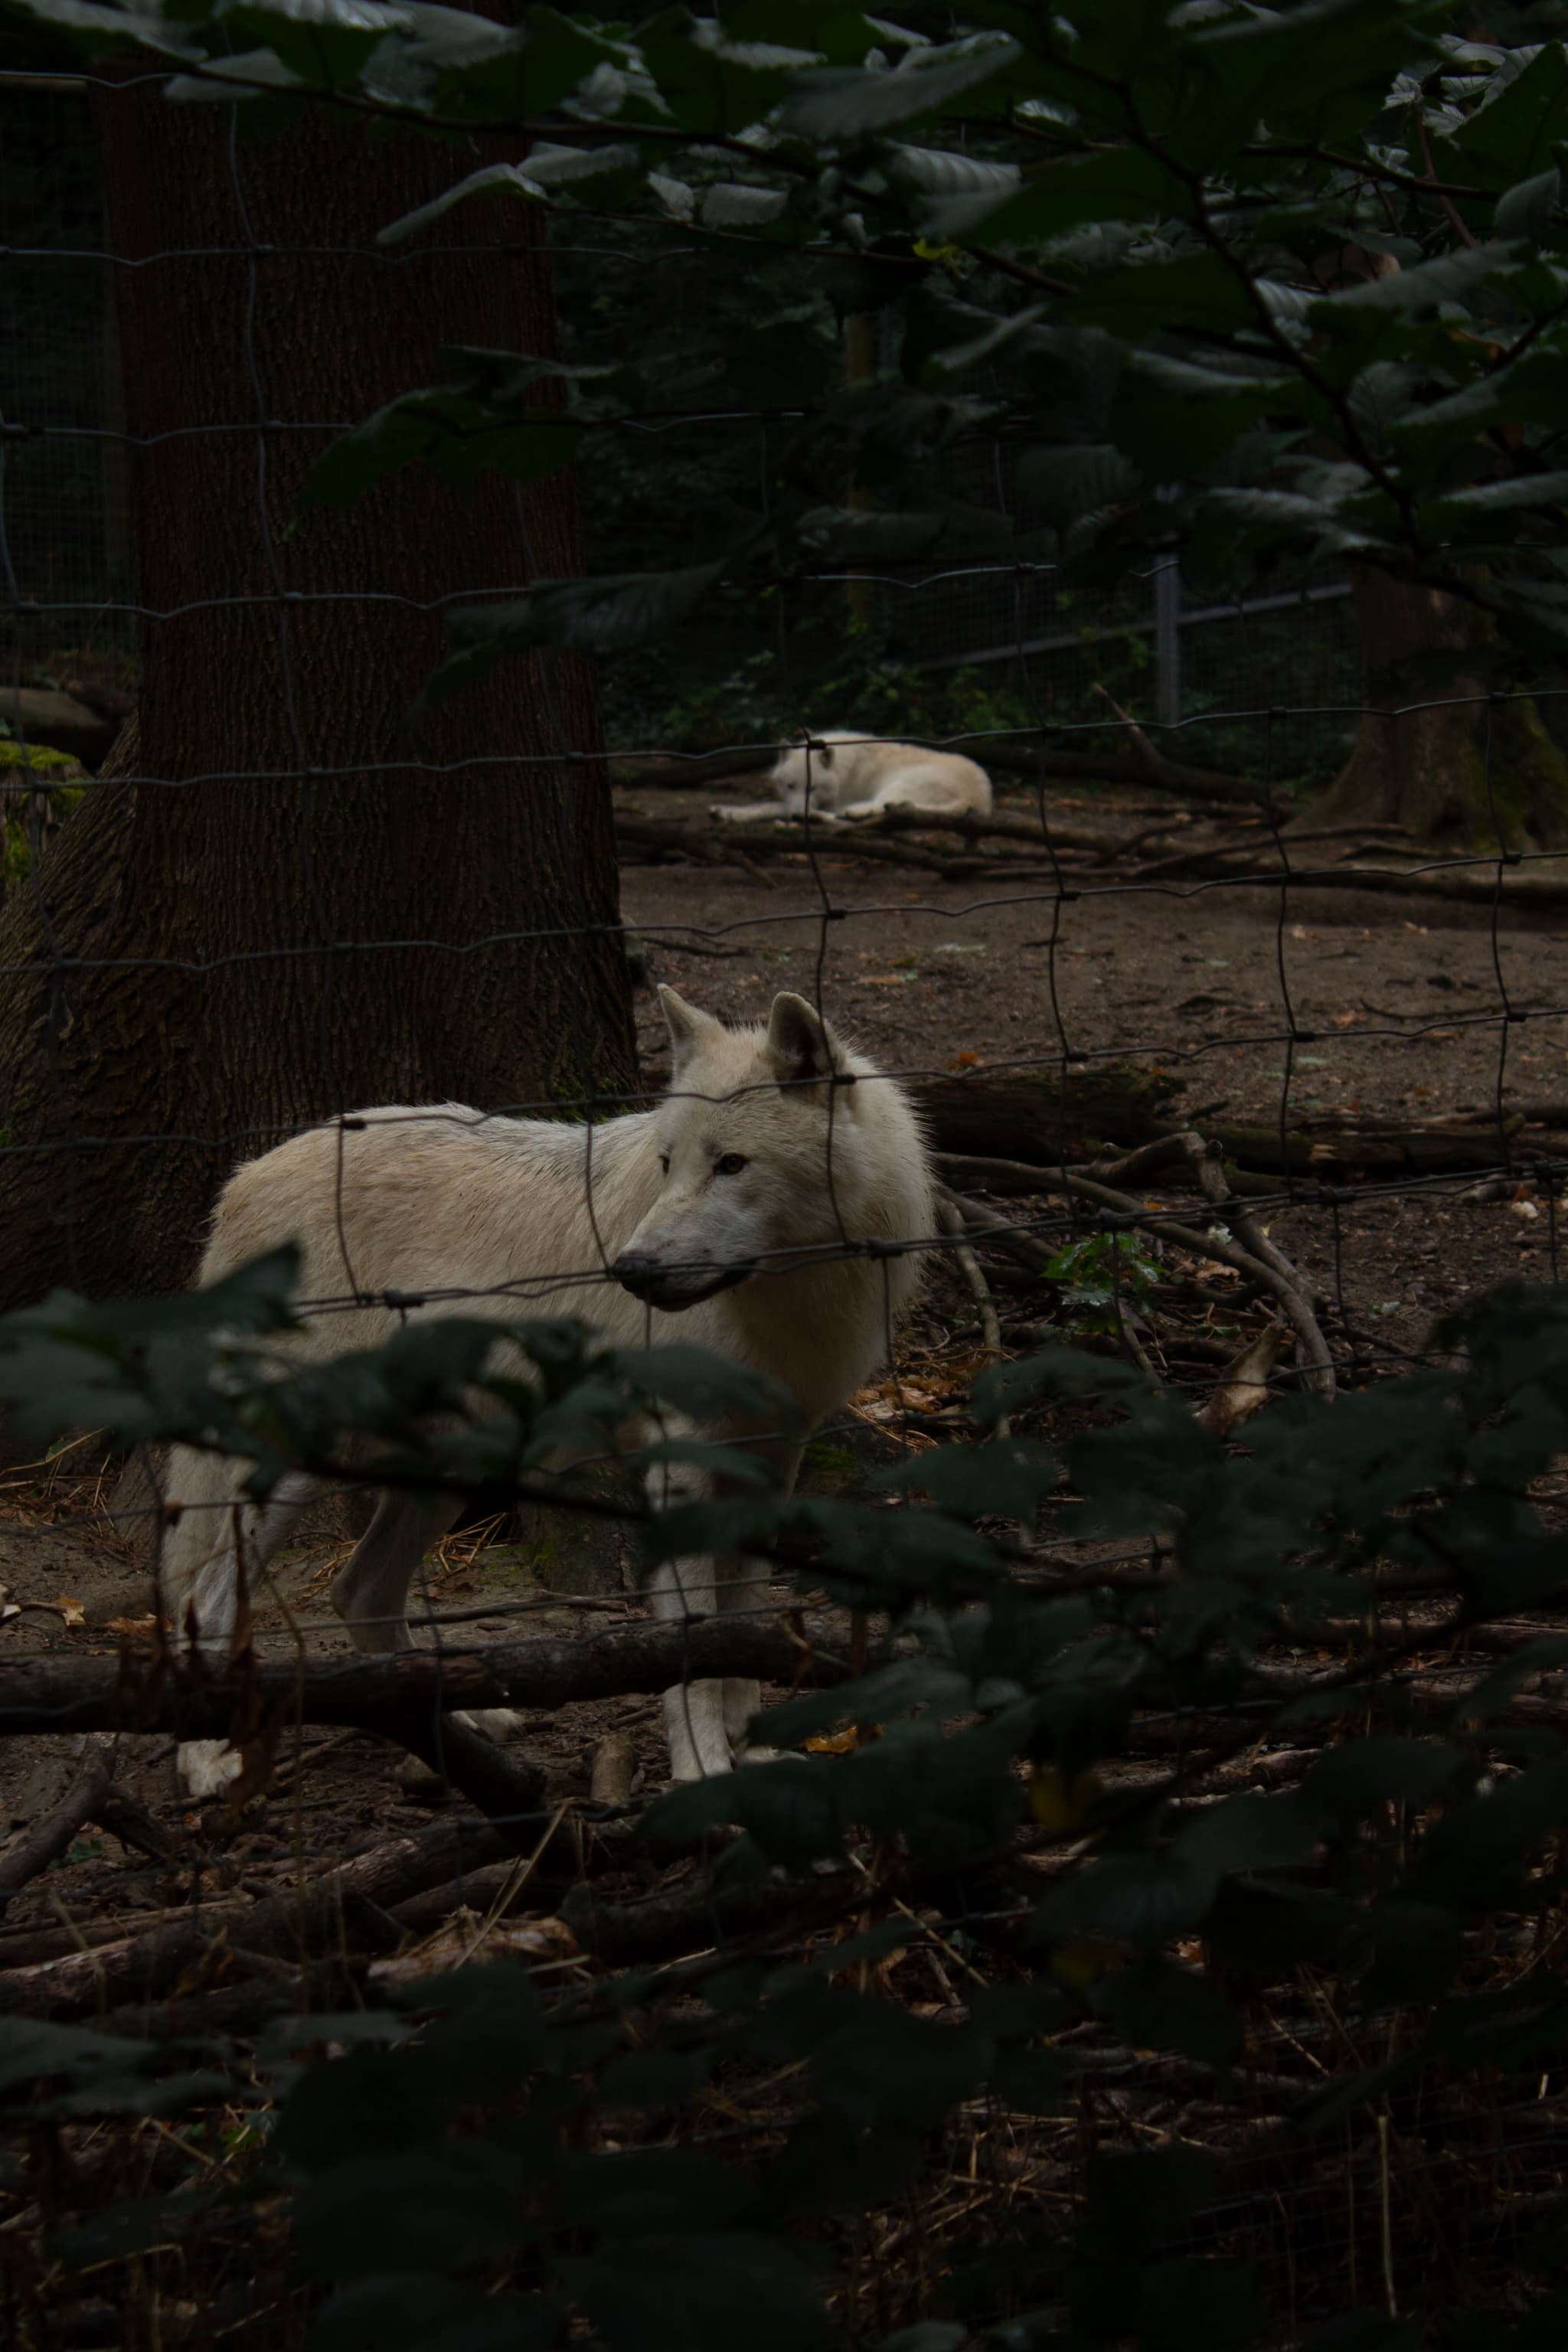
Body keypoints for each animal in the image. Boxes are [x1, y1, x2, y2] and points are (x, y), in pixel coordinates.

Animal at [161, 988, 933, 1797]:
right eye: (668, 1164)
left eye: (731, 1165)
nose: (632, 1269)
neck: (789, 1302)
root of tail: (244, 1177)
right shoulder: (681, 1464)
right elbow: (694, 1641)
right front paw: (702, 1769)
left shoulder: (771, 1463)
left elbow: (745, 1624)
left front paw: (750, 1755)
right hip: (302, 1465)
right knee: (203, 1598)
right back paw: (206, 1759)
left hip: (444, 1473)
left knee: (358, 1593)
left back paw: (449, 1725)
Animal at [713, 730, 992, 825]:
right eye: (790, 786)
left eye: (812, 788)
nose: (798, 818)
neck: (841, 770)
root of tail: (977, 800)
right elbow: (767, 805)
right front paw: (728, 812)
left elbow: (774, 807)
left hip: (898, 784)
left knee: (881, 809)